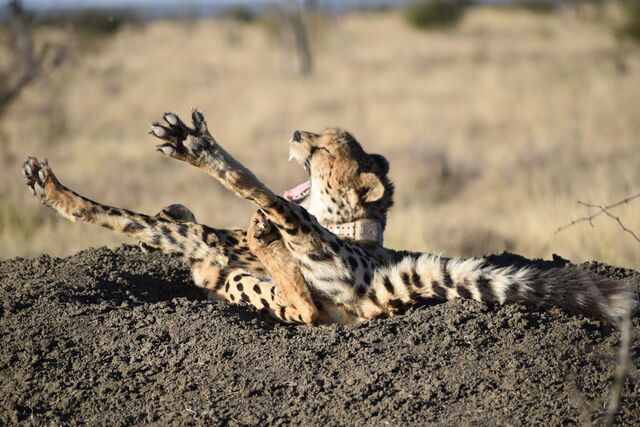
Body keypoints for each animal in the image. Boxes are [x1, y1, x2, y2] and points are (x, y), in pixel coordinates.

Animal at [143, 109, 635, 325]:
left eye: (324, 148)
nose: (297, 133)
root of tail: (379, 295)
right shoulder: (221, 255)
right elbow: (202, 238)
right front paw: (169, 219)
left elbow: (208, 235)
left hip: (311, 272)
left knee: (302, 296)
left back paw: (198, 148)